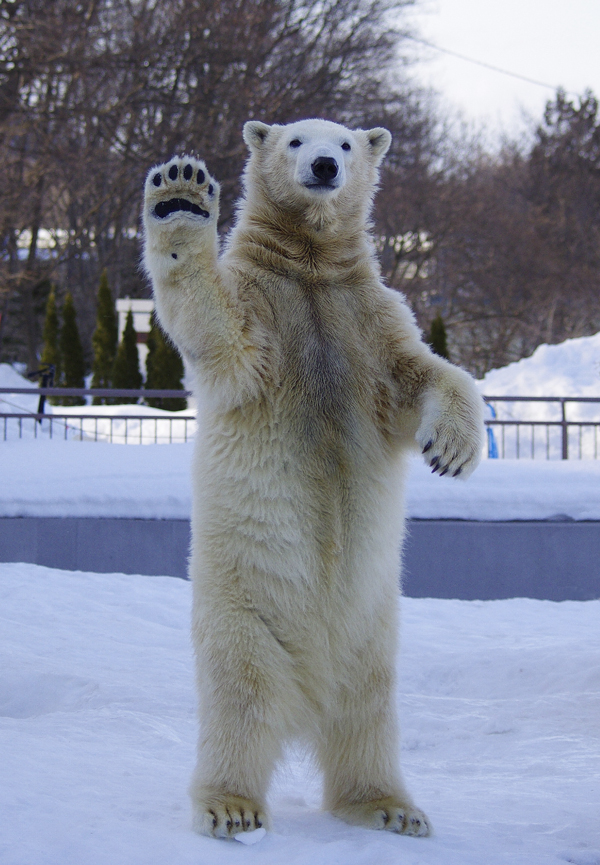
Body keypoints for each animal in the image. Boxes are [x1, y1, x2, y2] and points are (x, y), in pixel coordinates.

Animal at [143, 118, 486, 840]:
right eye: (297, 140)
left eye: (348, 144)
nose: (326, 165)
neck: (309, 267)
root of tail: (309, 696)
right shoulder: (264, 311)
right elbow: (221, 334)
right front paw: (181, 195)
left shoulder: (369, 321)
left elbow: (427, 373)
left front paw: (452, 449)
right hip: (245, 610)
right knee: (240, 701)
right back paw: (230, 805)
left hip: (371, 630)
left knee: (368, 715)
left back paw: (390, 806)